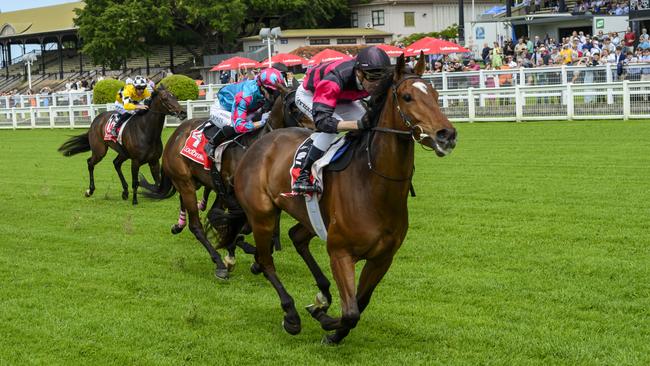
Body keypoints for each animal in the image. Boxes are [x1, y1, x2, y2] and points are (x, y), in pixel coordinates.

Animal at [57, 86, 186, 206]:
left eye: (174, 96)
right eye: (164, 98)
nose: (183, 112)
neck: (146, 131)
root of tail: (96, 120)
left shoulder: (154, 161)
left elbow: (157, 182)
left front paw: (157, 195)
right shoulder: (135, 161)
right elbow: (135, 181)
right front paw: (135, 200)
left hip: (123, 153)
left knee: (116, 163)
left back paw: (125, 191)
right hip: (100, 151)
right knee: (90, 163)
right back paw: (90, 190)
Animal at [228, 54, 456, 344]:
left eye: (436, 95)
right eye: (407, 97)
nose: (446, 135)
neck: (373, 186)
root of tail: (261, 142)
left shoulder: (382, 258)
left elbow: (361, 302)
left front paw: (330, 326)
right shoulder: (340, 253)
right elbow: (350, 311)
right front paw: (324, 320)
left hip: (309, 217)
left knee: (296, 237)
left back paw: (323, 294)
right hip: (262, 215)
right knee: (267, 261)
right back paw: (291, 315)